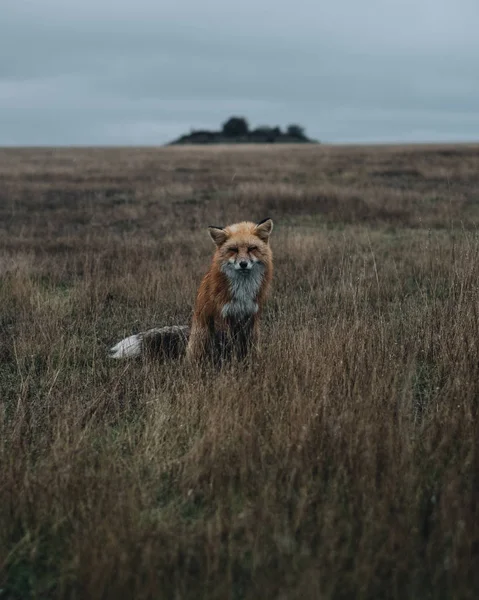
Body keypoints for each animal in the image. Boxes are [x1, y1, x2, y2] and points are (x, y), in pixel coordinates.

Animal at [187, 218, 272, 364]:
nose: (243, 264)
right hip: (203, 337)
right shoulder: (223, 316)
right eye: (233, 250)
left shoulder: (251, 316)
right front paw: (229, 365)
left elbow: (249, 347)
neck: (243, 291)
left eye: (252, 248)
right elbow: (228, 348)